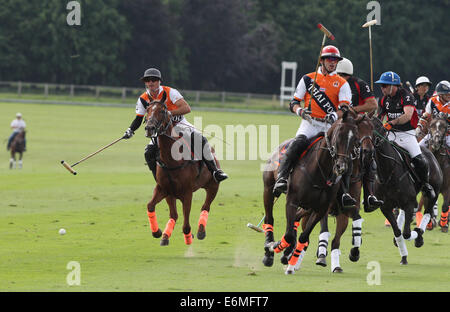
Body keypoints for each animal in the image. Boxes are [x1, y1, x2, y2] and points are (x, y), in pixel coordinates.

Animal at [143, 92, 221, 246]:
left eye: (162, 111)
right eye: (147, 110)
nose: (149, 128)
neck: (171, 160)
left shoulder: (187, 192)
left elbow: (186, 225)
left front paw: (189, 237)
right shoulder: (164, 189)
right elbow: (150, 206)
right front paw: (157, 232)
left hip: (213, 186)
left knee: (205, 207)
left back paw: (201, 231)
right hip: (172, 194)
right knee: (174, 214)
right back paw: (165, 236)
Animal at [262, 108, 360, 274]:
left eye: (354, 139)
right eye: (339, 135)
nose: (341, 167)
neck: (320, 170)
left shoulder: (321, 209)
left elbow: (303, 236)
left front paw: (290, 261)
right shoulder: (292, 201)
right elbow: (289, 235)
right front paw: (277, 247)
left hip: (309, 206)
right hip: (268, 188)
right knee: (269, 218)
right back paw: (269, 251)